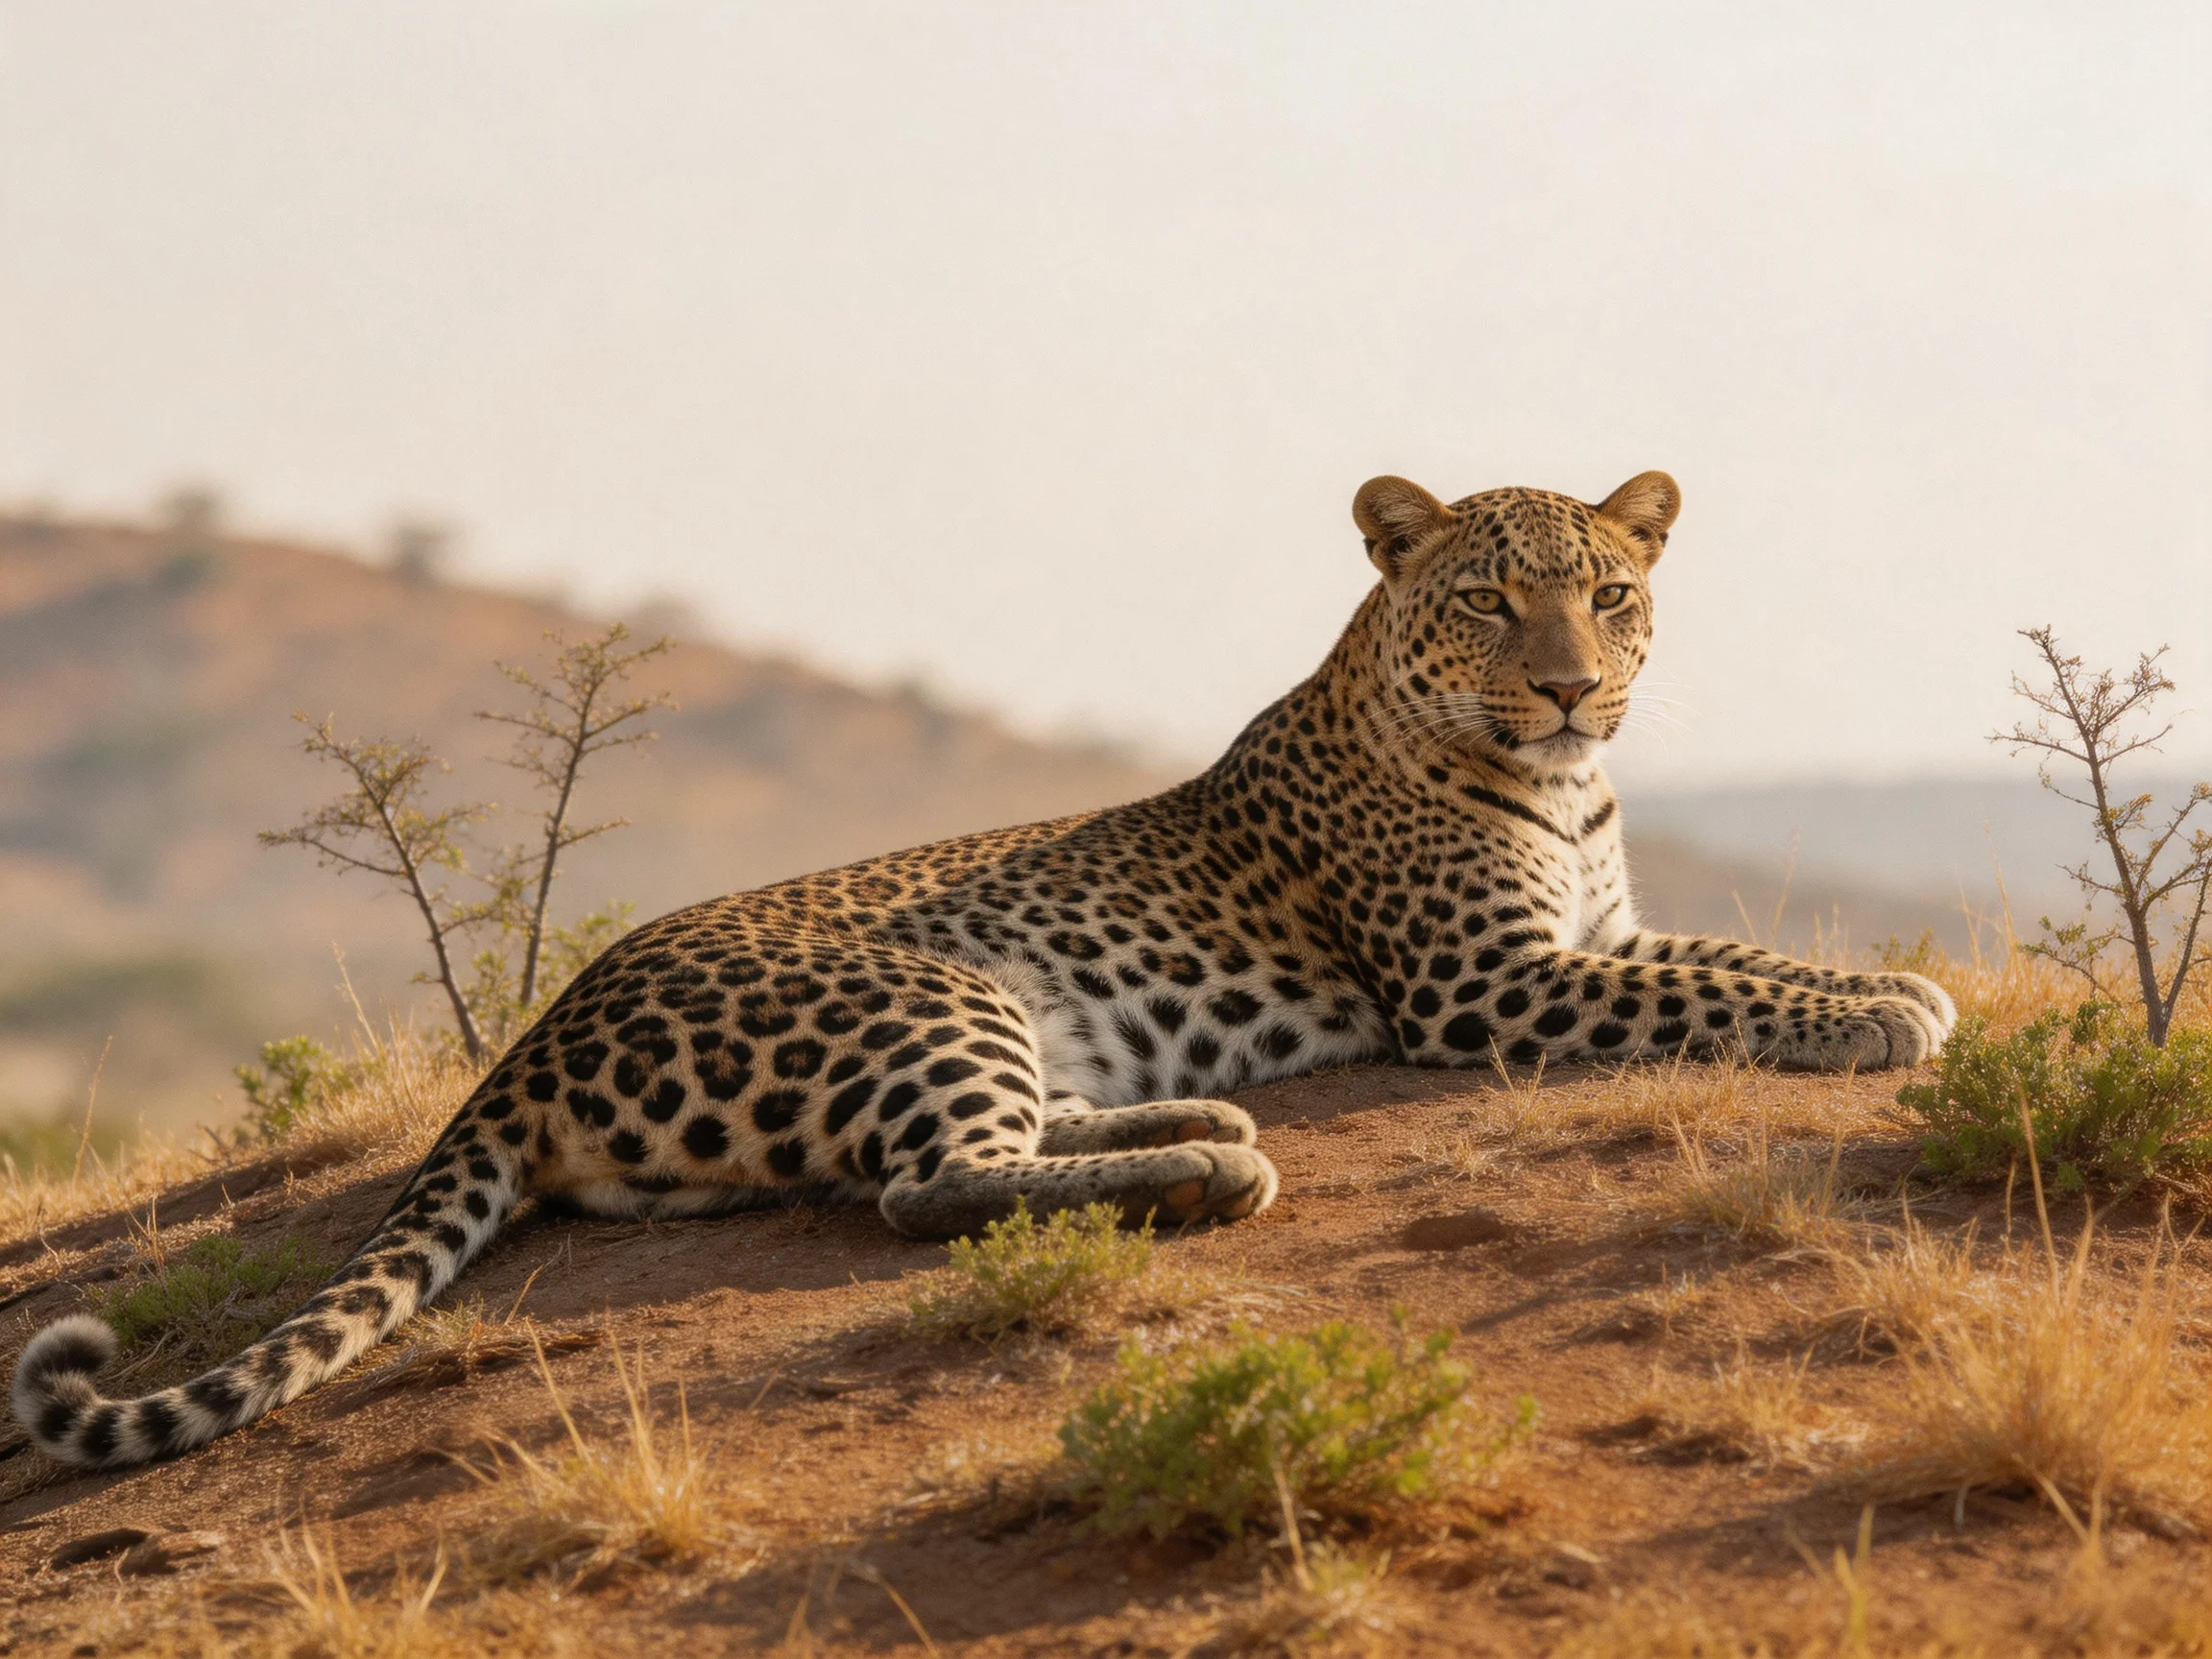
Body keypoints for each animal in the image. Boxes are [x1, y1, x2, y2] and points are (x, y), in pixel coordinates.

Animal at [13, 467, 1954, 1468]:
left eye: (1611, 592)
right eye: (1489, 599)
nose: (1568, 686)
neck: (1560, 787)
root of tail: (533, 1038)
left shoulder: (1588, 935)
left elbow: (1730, 949)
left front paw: (1895, 983)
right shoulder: (1491, 982)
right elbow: (1712, 991)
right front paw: (1882, 1015)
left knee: (961, 1158)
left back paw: (1192, 1117)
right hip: (926, 992)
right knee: (928, 1185)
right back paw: (1216, 1163)